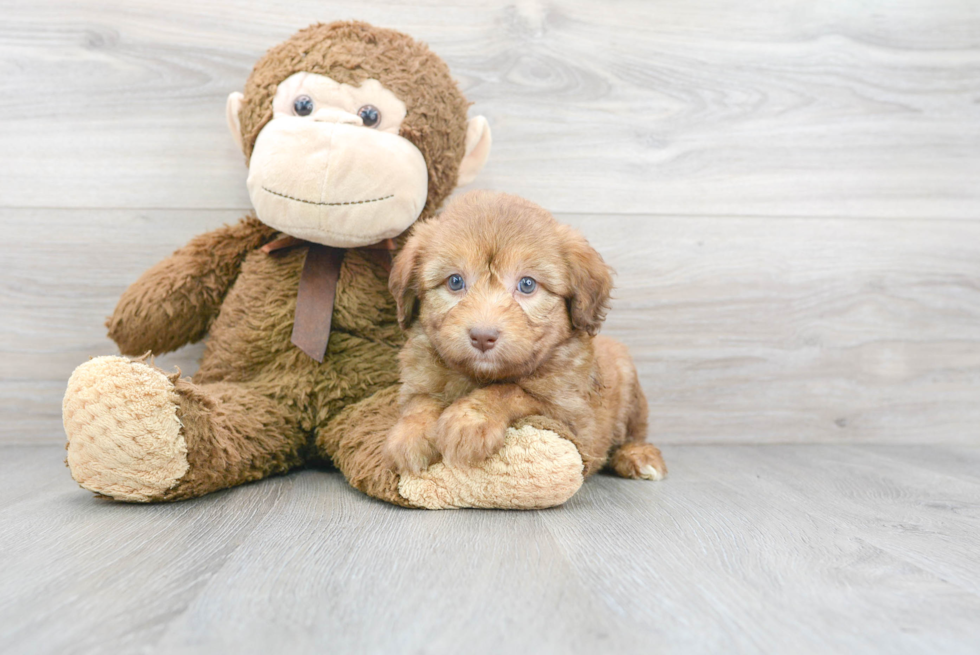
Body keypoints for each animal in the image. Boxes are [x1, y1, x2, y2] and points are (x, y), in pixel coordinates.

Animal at [382, 190, 668, 482]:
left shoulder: (573, 418)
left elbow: (511, 391)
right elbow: (420, 401)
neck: (478, 376)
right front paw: (411, 432)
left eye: (527, 284)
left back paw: (638, 456)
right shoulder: (418, 379)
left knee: (633, 433)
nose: (482, 337)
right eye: (455, 281)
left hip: (630, 389)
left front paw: (471, 419)